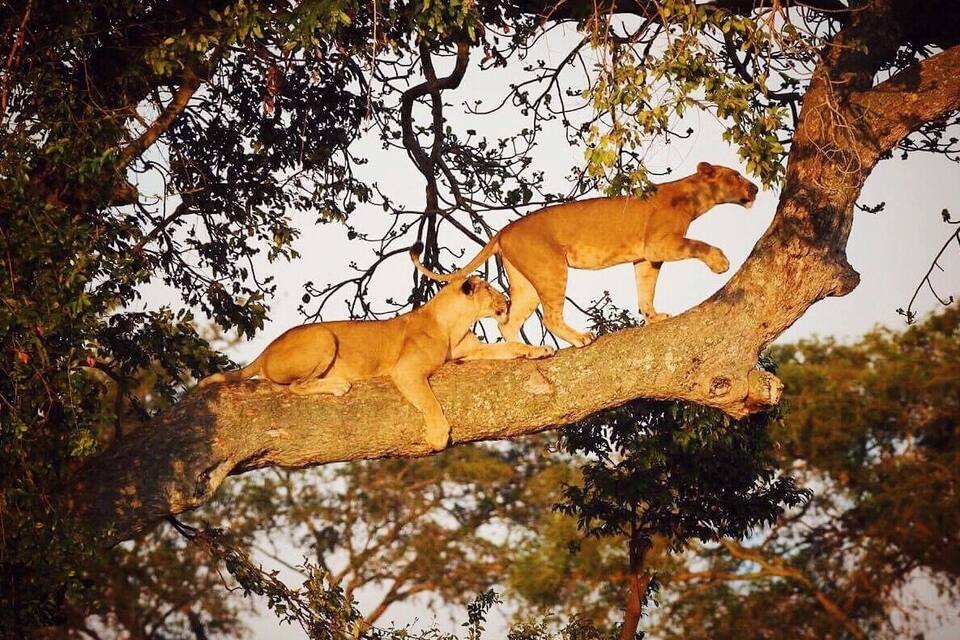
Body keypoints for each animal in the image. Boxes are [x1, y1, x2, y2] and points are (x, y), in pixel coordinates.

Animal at [195, 276, 554, 450]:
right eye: (491, 290)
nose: (507, 301)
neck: (454, 323)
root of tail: (267, 348)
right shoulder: (406, 370)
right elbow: (430, 401)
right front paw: (439, 436)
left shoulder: (470, 353)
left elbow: (510, 347)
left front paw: (539, 350)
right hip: (323, 337)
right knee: (292, 386)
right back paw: (337, 385)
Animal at [411, 162, 759, 347]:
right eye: (736, 175)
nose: (755, 188)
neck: (693, 196)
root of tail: (503, 231)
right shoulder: (660, 243)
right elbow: (699, 244)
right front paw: (720, 261)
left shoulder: (646, 256)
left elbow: (645, 289)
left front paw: (653, 317)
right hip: (551, 268)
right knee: (550, 317)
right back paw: (578, 338)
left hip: (526, 281)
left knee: (508, 323)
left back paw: (523, 352)